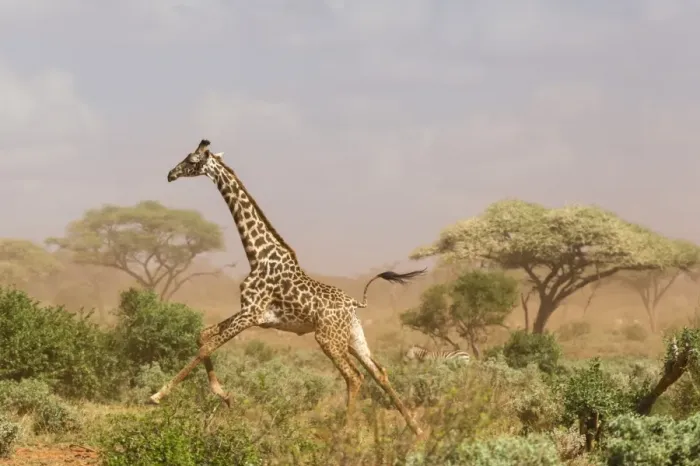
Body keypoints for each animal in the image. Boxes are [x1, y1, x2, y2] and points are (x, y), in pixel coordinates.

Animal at [151, 139, 427, 436]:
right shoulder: (251, 313)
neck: (258, 255)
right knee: (380, 372)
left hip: (327, 338)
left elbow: (206, 346)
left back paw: (343, 434)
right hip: (352, 336)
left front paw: (158, 395)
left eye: (191, 160)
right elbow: (202, 336)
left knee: (355, 377)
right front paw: (225, 397)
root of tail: (355, 303)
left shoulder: (251, 314)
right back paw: (416, 431)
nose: (170, 174)